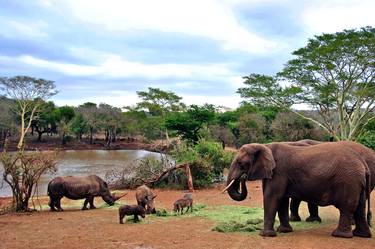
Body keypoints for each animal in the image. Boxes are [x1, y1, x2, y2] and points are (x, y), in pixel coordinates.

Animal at [226, 142, 374, 237]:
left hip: (349, 182)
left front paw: (265, 235)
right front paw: (284, 231)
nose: (243, 177)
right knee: (360, 208)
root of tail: (363, 164)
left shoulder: (279, 172)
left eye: (240, 163)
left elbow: (272, 197)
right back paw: (361, 235)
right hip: (357, 183)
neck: (265, 146)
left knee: (346, 207)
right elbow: (282, 200)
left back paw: (339, 235)